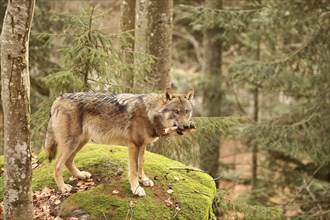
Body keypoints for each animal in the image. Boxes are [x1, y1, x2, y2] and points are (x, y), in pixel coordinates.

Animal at [43, 87, 193, 196]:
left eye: (187, 112)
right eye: (176, 112)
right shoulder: (134, 145)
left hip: (81, 142)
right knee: (57, 165)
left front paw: (144, 180)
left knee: (68, 162)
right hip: (72, 143)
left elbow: (141, 164)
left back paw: (80, 175)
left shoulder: (143, 145)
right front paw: (136, 189)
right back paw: (63, 188)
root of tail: (59, 98)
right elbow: (133, 170)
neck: (150, 113)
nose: (187, 126)